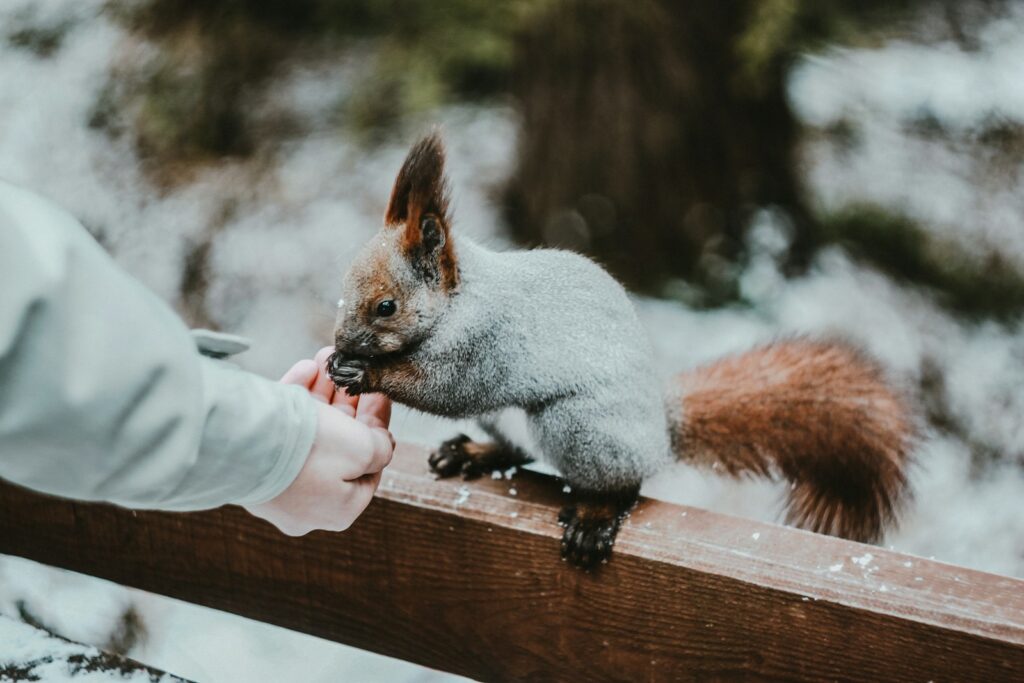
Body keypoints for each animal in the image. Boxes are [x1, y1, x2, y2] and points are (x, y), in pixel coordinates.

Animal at [328, 132, 915, 569]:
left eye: (386, 307)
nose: (339, 343)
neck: (460, 299)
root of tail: (659, 435)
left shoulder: (489, 343)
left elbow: (446, 388)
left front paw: (365, 372)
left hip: (580, 426)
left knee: (623, 482)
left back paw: (597, 514)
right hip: (518, 421)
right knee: (519, 450)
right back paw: (476, 452)